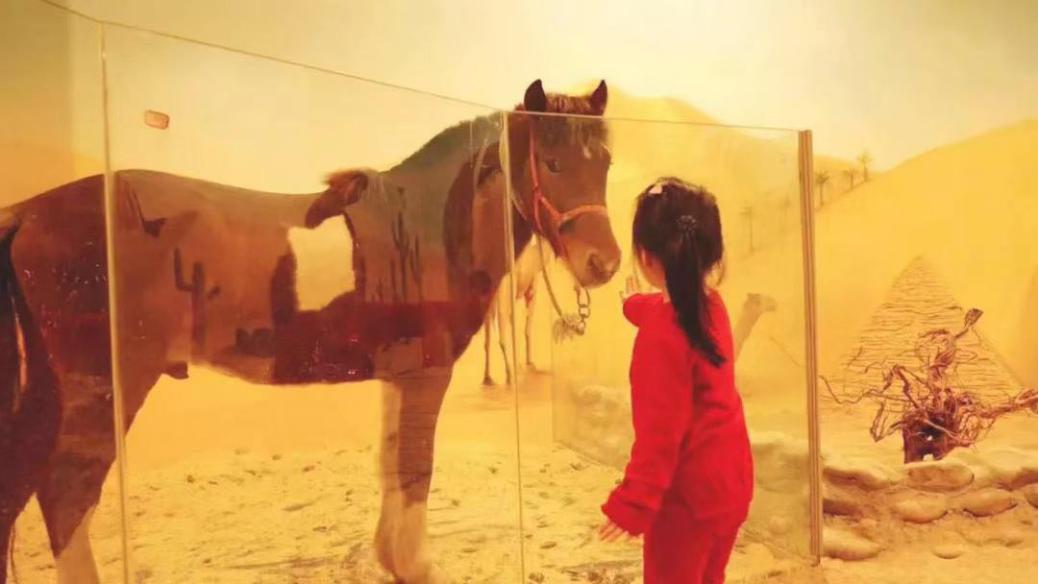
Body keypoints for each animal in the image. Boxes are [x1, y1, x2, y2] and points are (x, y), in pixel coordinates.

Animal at [0, 79, 620, 584]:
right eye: (552, 162)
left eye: (606, 163)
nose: (603, 263)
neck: (423, 225)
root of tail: (28, 212)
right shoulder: (426, 373)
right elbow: (415, 467)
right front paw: (416, 566)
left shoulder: (398, 375)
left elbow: (391, 462)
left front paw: (393, 560)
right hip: (105, 386)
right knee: (66, 494)